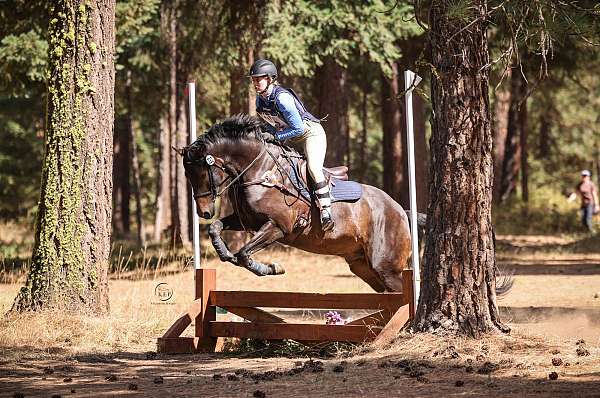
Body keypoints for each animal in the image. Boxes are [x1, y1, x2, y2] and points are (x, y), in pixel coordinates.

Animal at [183, 114, 414, 292]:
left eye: (202, 172)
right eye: (187, 175)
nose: (203, 212)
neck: (259, 171)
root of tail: (401, 210)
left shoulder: (278, 226)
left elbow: (243, 254)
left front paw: (271, 268)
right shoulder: (248, 222)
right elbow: (216, 228)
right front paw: (223, 253)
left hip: (386, 267)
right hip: (362, 266)